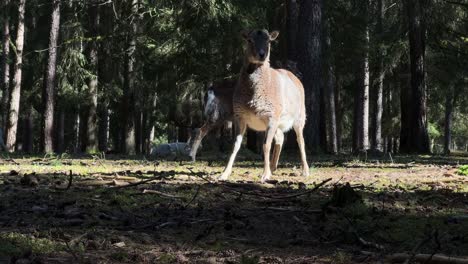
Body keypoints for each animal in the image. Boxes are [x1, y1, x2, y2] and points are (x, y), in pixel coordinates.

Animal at [220, 28, 310, 182]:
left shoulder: (271, 117)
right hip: (279, 122)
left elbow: (266, 145)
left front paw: (264, 175)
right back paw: (273, 168)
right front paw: (224, 174)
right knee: (280, 138)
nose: (261, 55)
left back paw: (305, 171)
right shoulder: (240, 116)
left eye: (268, 40)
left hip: (299, 117)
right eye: (249, 40)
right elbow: (235, 145)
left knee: (301, 140)